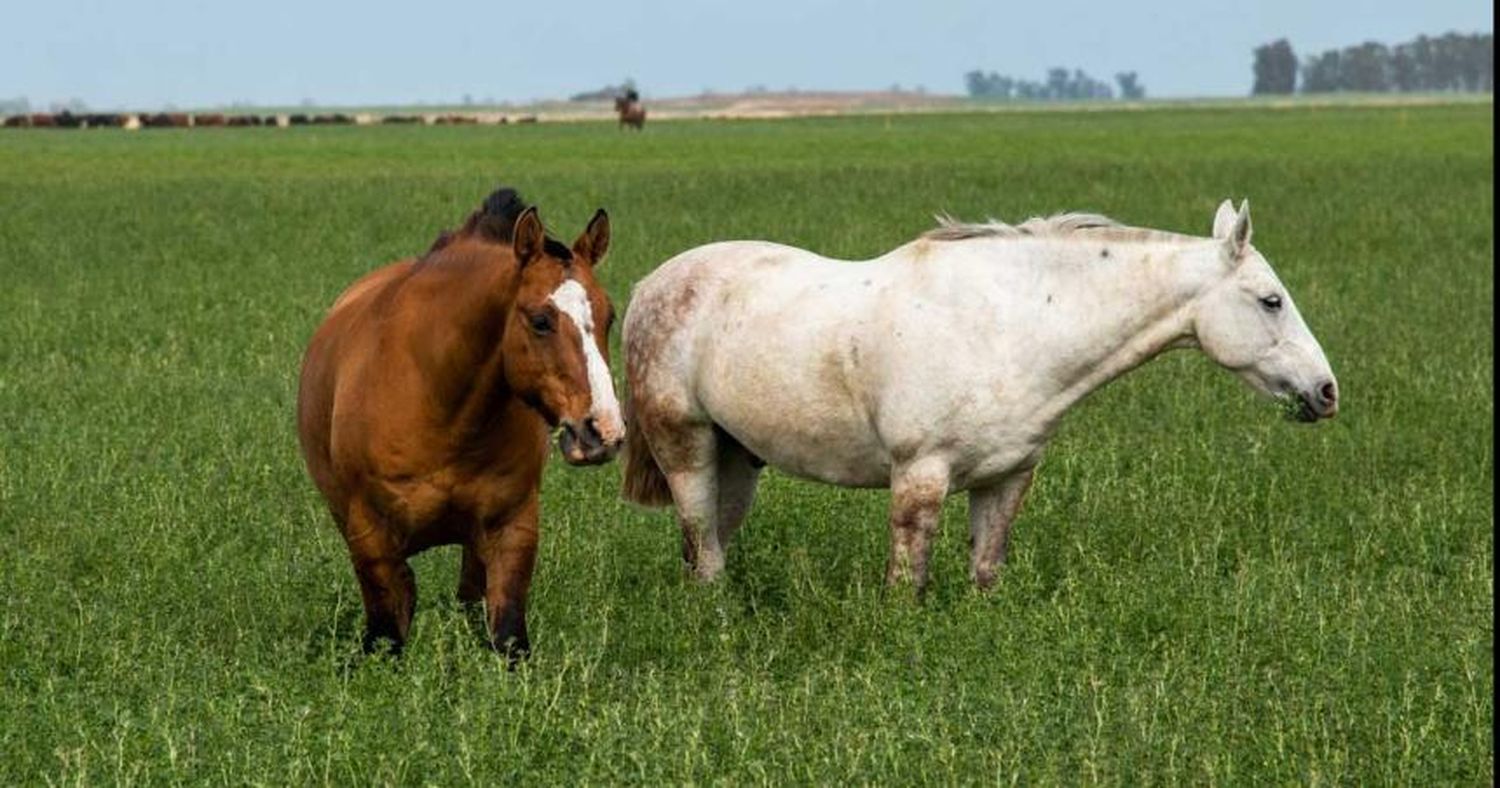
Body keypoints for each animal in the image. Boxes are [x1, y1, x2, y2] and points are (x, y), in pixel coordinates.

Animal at [295, 186, 624, 657]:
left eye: (609, 316)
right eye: (540, 321)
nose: (603, 431)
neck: (445, 412)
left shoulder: (512, 528)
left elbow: (508, 635)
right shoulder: (370, 536)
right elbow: (386, 633)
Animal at [621, 199, 1338, 594]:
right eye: (1271, 301)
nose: (1326, 392)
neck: (1009, 326)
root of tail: (650, 286)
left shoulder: (1006, 478)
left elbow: (985, 572)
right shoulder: (920, 478)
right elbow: (906, 582)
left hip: (738, 460)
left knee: (706, 549)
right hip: (687, 448)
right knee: (703, 548)